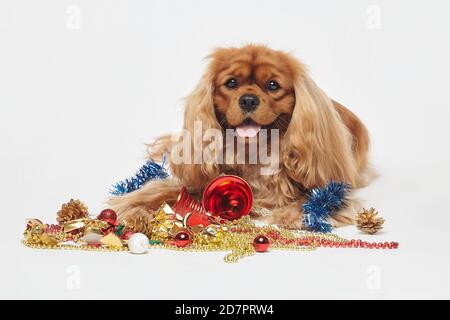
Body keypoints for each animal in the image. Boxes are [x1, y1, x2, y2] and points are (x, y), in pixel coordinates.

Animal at [107, 45, 370, 230]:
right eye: (231, 83)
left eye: (273, 85)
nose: (248, 100)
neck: (252, 152)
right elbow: (161, 191)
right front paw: (134, 207)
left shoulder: (334, 187)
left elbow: (318, 197)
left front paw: (297, 213)